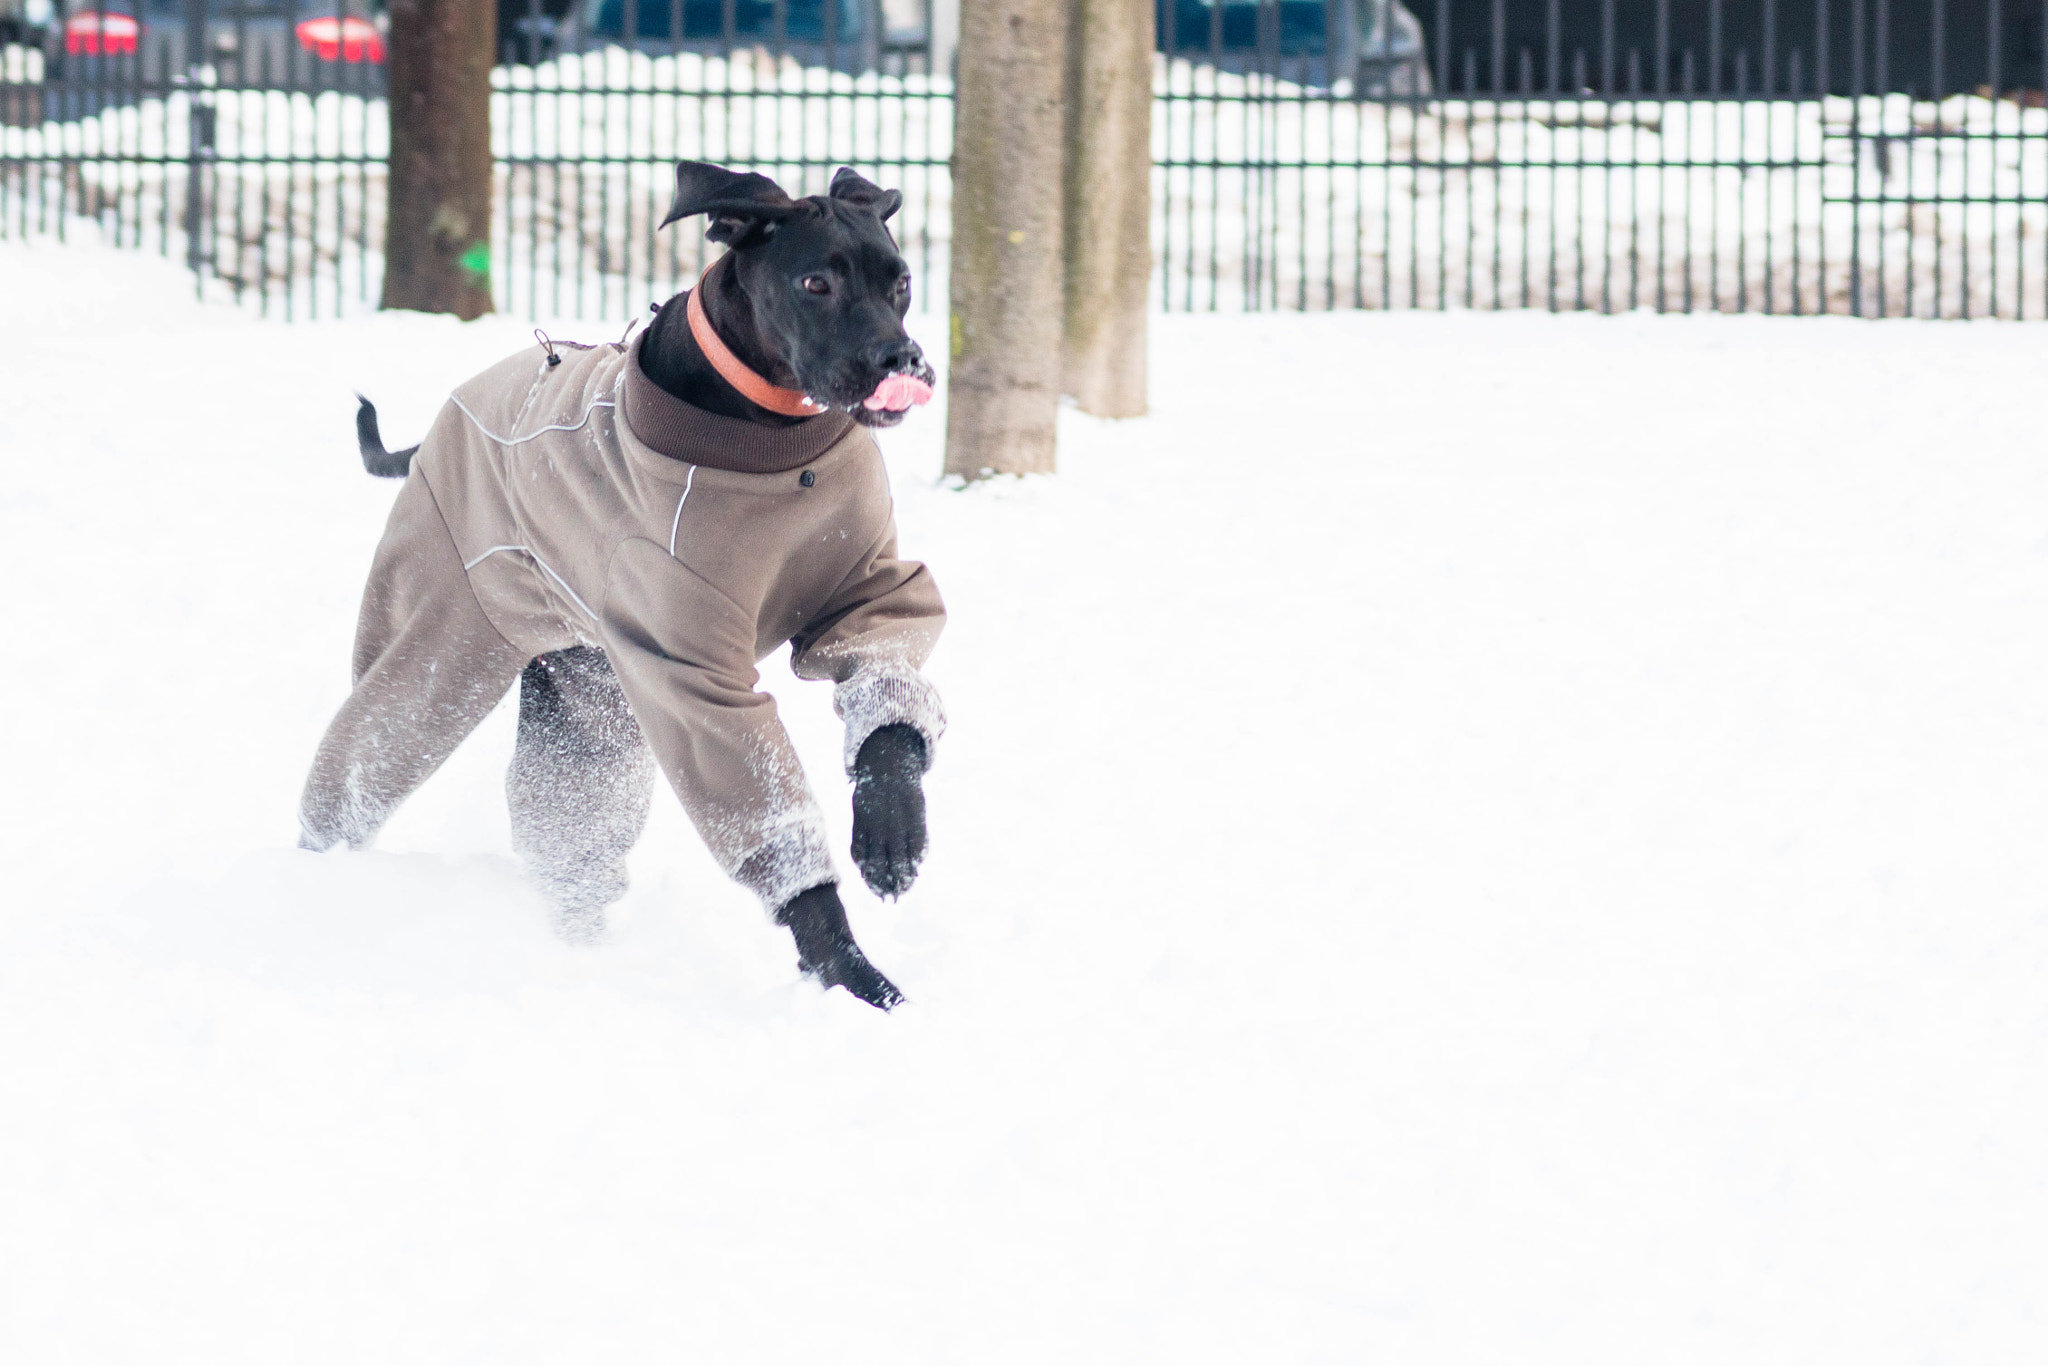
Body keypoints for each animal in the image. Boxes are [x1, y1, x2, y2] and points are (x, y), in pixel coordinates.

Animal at [350, 165, 937, 1011]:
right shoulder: (691, 676)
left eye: (903, 282)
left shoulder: (868, 594)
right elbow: (769, 812)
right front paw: (855, 982)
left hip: (587, 702)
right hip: (435, 642)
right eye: (815, 283)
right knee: (365, 762)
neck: (773, 440)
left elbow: (888, 714)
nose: (903, 363)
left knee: (568, 833)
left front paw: (891, 836)